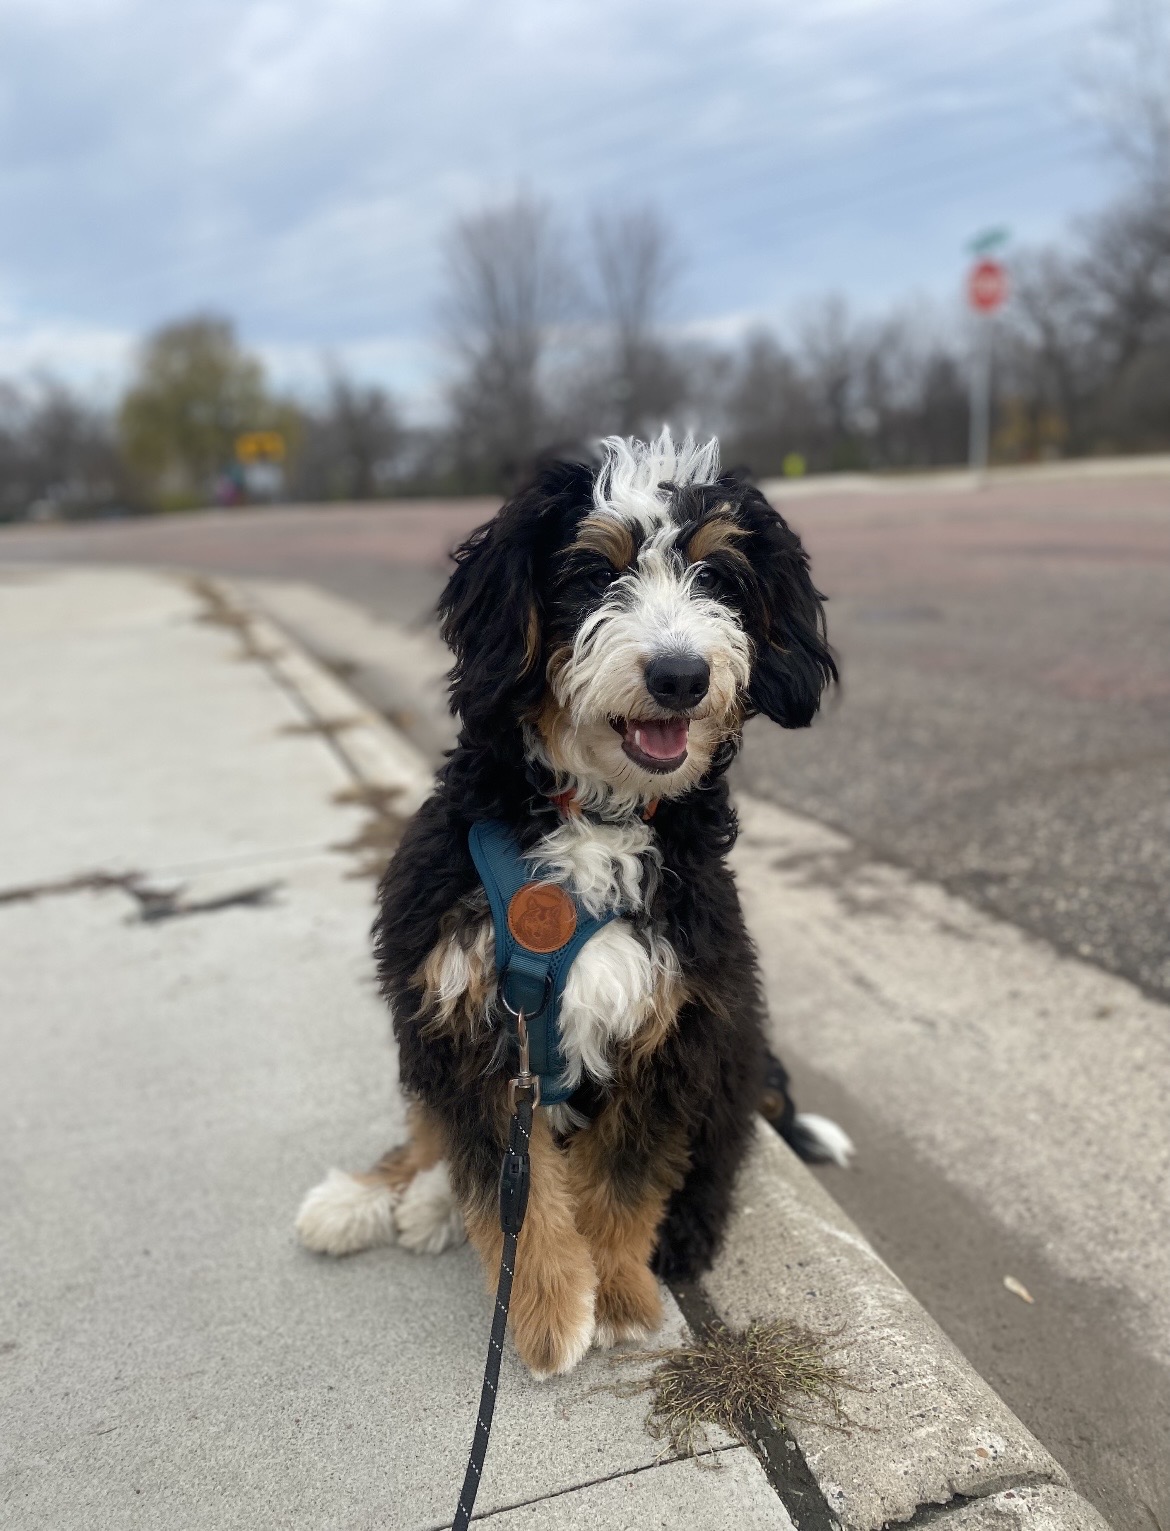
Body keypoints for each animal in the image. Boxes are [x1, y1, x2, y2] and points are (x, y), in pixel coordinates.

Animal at [296, 430, 851, 1377]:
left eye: (717, 576)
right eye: (595, 573)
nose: (680, 674)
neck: (592, 813)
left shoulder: (675, 1022)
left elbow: (622, 1178)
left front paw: (620, 1294)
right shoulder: (461, 1002)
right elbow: (500, 1177)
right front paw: (551, 1309)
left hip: (734, 1049)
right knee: (431, 1127)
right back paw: (383, 1197)